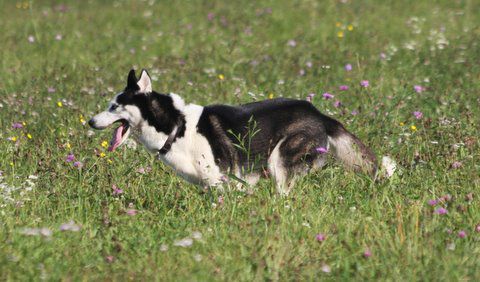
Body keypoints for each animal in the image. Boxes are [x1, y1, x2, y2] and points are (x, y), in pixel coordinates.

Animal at [88, 69, 376, 195]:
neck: (175, 127)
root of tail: (318, 114)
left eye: (114, 106)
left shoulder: (220, 181)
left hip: (279, 163)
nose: (90, 121)